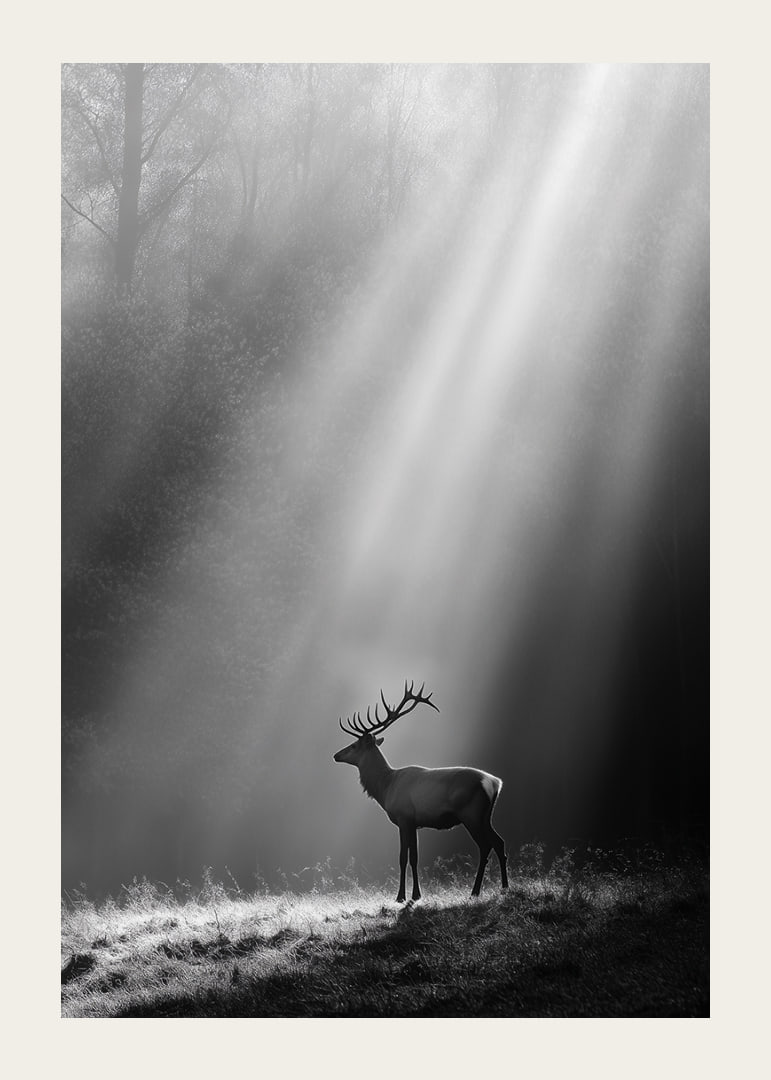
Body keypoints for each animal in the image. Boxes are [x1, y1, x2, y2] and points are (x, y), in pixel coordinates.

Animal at [333, 680, 508, 902]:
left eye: (354, 745)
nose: (336, 755)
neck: (386, 787)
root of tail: (495, 782)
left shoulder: (403, 817)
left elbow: (403, 858)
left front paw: (401, 896)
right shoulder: (415, 823)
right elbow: (415, 858)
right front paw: (416, 895)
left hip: (471, 814)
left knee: (485, 846)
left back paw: (475, 892)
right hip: (486, 816)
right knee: (499, 842)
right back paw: (504, 887)